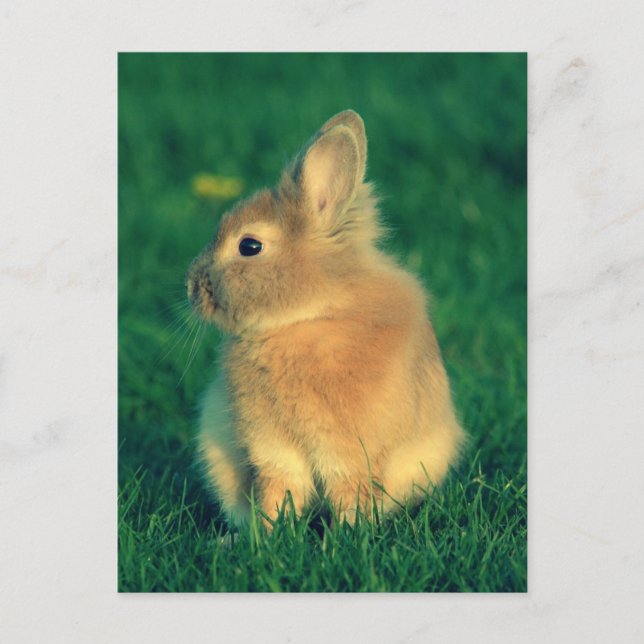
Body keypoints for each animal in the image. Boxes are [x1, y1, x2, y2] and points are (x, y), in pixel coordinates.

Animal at [187, 110, 465, 528]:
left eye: (249, 246)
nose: (191, 286)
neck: (307, 318)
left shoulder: (348, 452)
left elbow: (346, 492)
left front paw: (348, 535)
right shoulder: (273, 450)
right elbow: (278, 490)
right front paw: (266, 534)